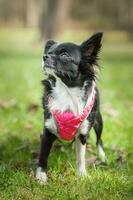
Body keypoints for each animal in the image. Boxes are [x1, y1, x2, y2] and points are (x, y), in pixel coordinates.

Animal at [35, 32, 106, 184]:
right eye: (49, 52)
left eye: (64, 55)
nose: (44, 56)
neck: (66, 91)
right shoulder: (47, 131)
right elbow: (43, 156)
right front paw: (41, 176)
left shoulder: (83, 134)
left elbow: (81, 157)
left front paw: (82, 174)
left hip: (98, 121)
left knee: (99, 140)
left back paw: (103, 157)